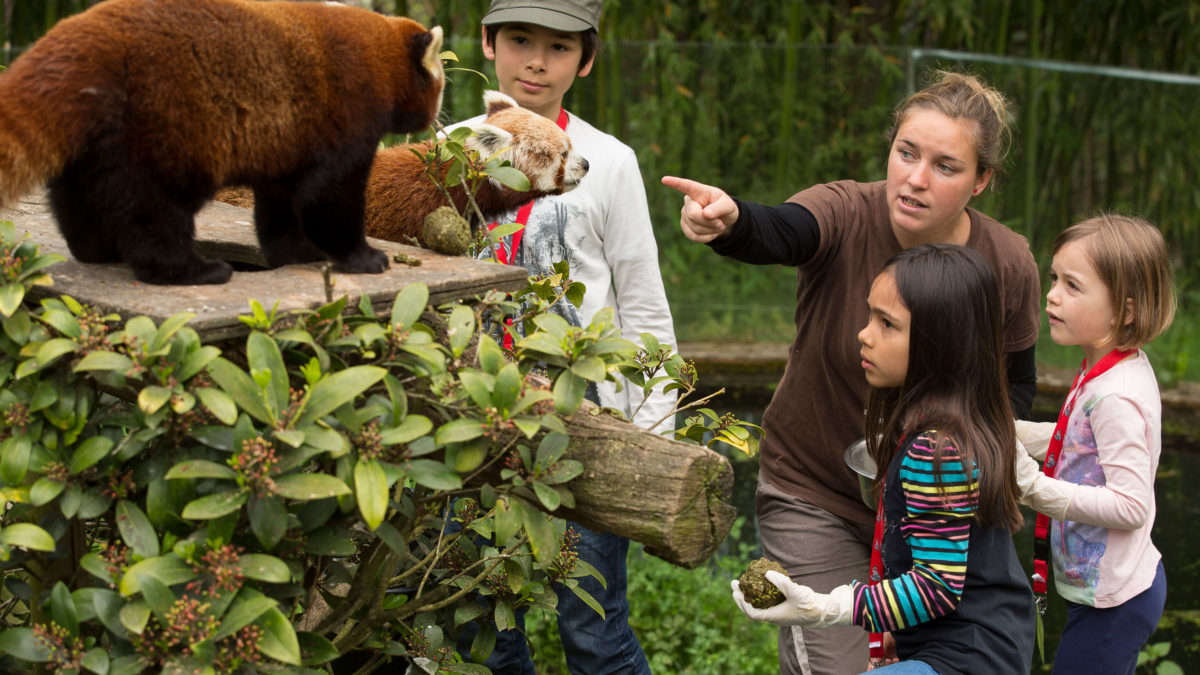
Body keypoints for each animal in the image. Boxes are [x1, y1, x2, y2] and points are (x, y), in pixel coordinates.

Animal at [0, 0, 446, 283]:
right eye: (439, 86)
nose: (436, 117)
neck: (379, 52)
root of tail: (78, 36)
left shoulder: (289, 140)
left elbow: (280, 207)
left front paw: (294, 253)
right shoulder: (347, 112)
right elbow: (329, 199)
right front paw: (362, 258)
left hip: (101, 131)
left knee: (77, 193)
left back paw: (96, 249)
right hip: (166, 122)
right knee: (153, 210)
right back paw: (191, 271)